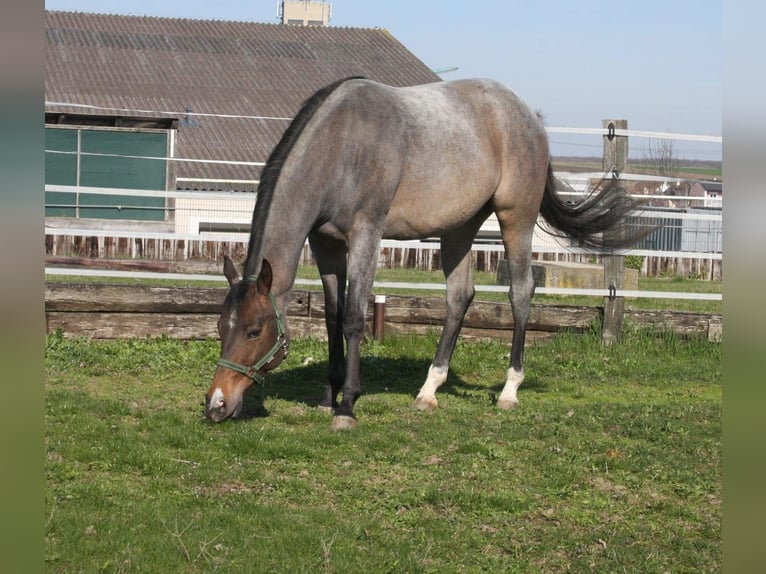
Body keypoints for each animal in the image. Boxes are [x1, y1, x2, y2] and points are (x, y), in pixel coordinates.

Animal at [202, 76, 640, 430]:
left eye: (254, 331)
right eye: (221, 326)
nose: (216, 405)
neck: (341, 144)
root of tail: (527, 115)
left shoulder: (366, 233)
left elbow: (354, 318)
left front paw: (346, 405)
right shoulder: (325, 243)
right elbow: (331, 317)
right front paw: (328, 395)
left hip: (517, 217)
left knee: (521, 292)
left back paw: (509, 390)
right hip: (459, 228)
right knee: (460, 296)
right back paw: (429, 389)